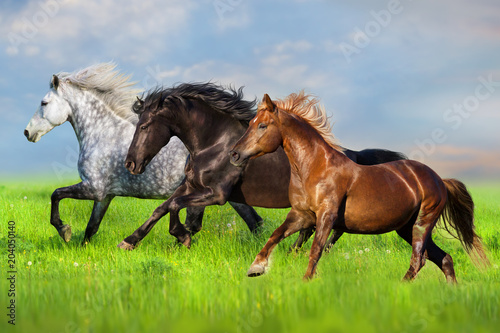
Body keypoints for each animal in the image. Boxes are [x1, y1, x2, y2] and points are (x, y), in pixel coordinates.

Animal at [23, 63, 262, 244]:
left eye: (44, 102)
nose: (27, 132)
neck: (103, 133)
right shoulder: (105, 196)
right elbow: (91, 228)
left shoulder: (93, 189)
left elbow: (56, 194)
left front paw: (64, 230)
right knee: (253, 223)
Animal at [120, 82, 406, 249]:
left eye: (144, 126)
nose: (130, 163)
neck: (214, 144)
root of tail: (354, 157)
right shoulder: (192, 186)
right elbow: (162, 207)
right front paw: (130, 241)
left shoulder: (217, 195)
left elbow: (174, 206)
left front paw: (182, 236)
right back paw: (294, 253)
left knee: (328, 230)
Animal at [229, 92, 488, 280]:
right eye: (251, 123)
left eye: (262, 126)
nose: (234, 154)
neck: (314, 168)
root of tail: (440, 180)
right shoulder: (301, 215)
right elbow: (275, 236)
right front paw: (256, 268)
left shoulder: (326, 216)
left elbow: (315, 250)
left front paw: (305, 282)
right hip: (406, 227)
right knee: (444, 259)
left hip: (422, 224)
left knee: (419, 260)